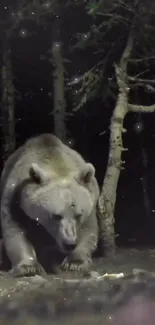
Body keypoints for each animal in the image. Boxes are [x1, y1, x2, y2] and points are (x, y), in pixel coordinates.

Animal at [0, 134, 99, 276]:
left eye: (78, 215)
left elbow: (88, 230)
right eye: (56, 215)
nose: (69, 243)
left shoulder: (91, 201)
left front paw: (74, 263)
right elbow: (15, 229)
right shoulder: (14, 198)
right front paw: (29, 267)